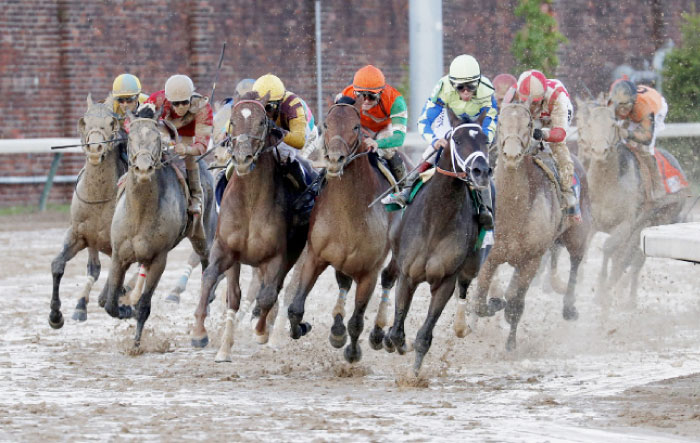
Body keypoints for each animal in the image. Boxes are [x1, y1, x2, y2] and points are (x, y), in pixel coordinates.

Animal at [100, 111, 216, 346]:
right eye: (131, 138)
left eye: (156, 138)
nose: (143, 168)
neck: (140, 213)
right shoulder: (119, 256)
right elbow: (111, 305)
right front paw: (125, 308)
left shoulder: (159, 259)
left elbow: (144, 305)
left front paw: (136, 343)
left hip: (202, 235)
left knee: (206, 262)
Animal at [288, 101, 400, 364]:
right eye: (327, 124)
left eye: (356, 126)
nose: (334, 159)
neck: (348, 210)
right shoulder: (315, 256)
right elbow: (295, 309)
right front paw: (302, 327)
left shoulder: (369, 271)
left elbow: (357, 321)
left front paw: (353, 352)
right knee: (344, 281)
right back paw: (337, 329)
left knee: (389, 278)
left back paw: (378, 333)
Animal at [382, 114, 492, 374]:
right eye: (457, 140)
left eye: (486, 139)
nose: (481, 171)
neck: (437, 219)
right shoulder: (408, 275)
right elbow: (397, 330)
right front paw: (394, 340)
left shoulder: (445, 280)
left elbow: (424, 336)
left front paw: (414, 374)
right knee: (388, 276)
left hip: (473, 262)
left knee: (464, 287)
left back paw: (461, 326)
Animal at [474, 103, 592, 350]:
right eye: (500, 121)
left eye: (528, 124)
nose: (511, 155)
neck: (513, 214)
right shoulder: (491, 256)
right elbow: (480, 303)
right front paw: (495, 302)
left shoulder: (532, 259)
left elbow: (515, 305)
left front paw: (510, 345)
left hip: (577, 234)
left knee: (575, 263)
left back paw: (569, 308)